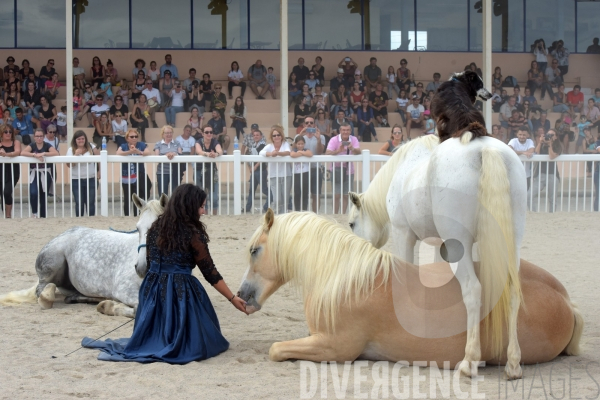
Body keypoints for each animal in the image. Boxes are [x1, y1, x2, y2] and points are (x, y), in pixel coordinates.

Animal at [0, 195, 166, 318]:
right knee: (43, 290)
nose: (141, 267)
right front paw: (109, 306)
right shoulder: (124, 289)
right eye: (138, 228)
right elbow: (139, 309)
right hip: (53, 262)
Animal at [238, 212, 580, 372]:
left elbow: (276, 349)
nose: (242, 294)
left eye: (255, 250)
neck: (343, 277)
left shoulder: (334, 347)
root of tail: (565, 299)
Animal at [346, 77, 524, 378]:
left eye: (351, 224)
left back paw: (469, 361)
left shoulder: (405, 234)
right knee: (511, 290)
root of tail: (485, 149)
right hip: (512, 242)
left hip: (459, 243)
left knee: (473, 290)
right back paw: (512, 363)